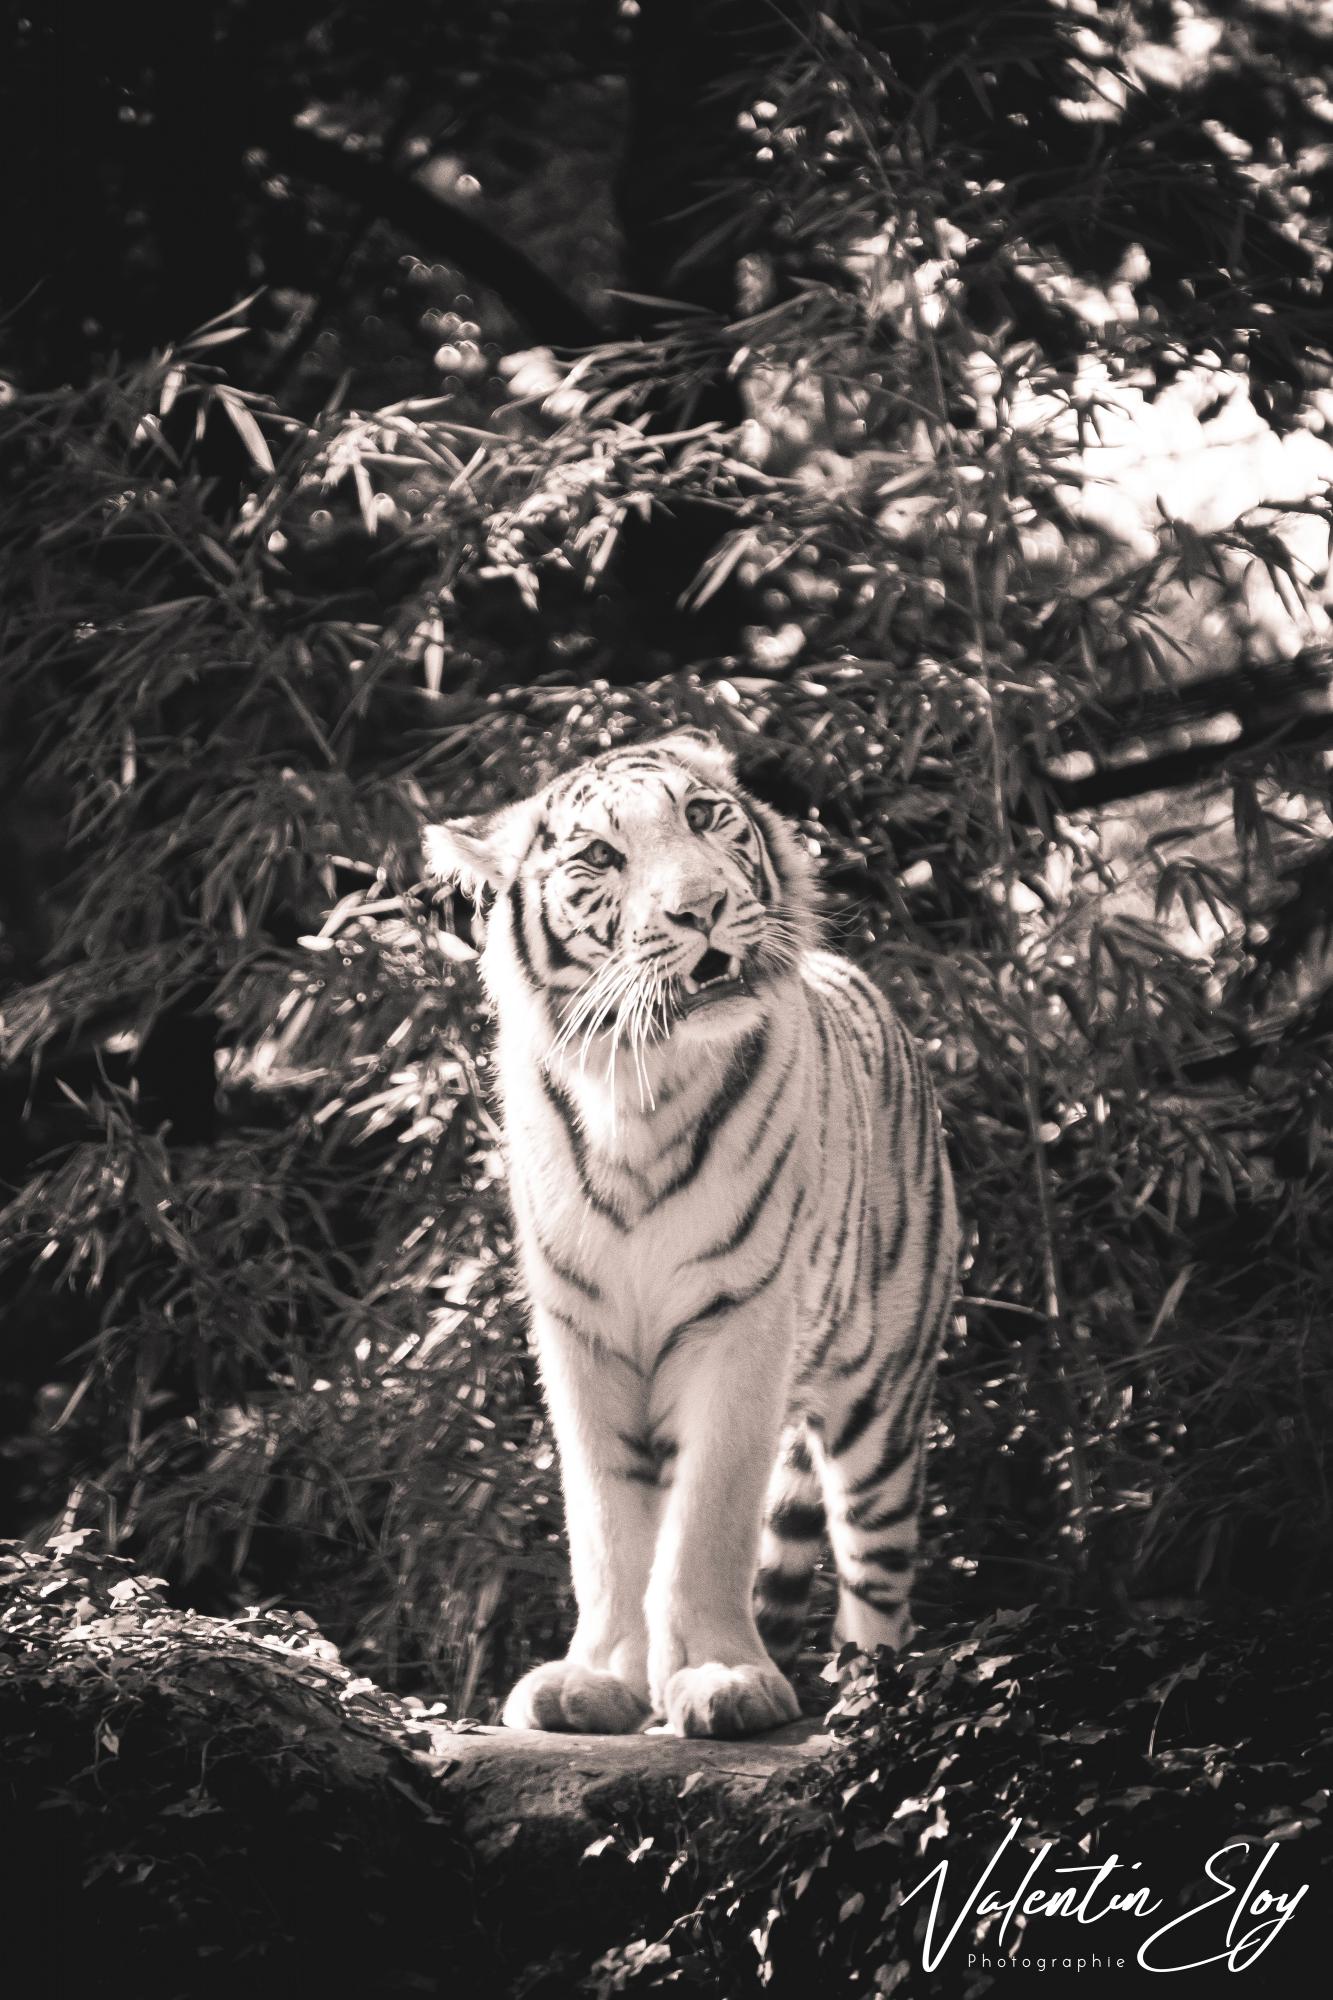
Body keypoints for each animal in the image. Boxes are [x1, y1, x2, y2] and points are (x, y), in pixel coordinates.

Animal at [425, 728, 959, 1739]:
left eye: (706, 817)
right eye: (600, 858)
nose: (701, 907)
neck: (637, 1092)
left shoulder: (740, 1320)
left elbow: (709, 1517)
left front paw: (720, 1677)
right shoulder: (580, 1334)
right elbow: (604, 1523)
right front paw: (597, 1681)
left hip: (882, 1400)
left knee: (875, 1576)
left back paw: (870, 1704)